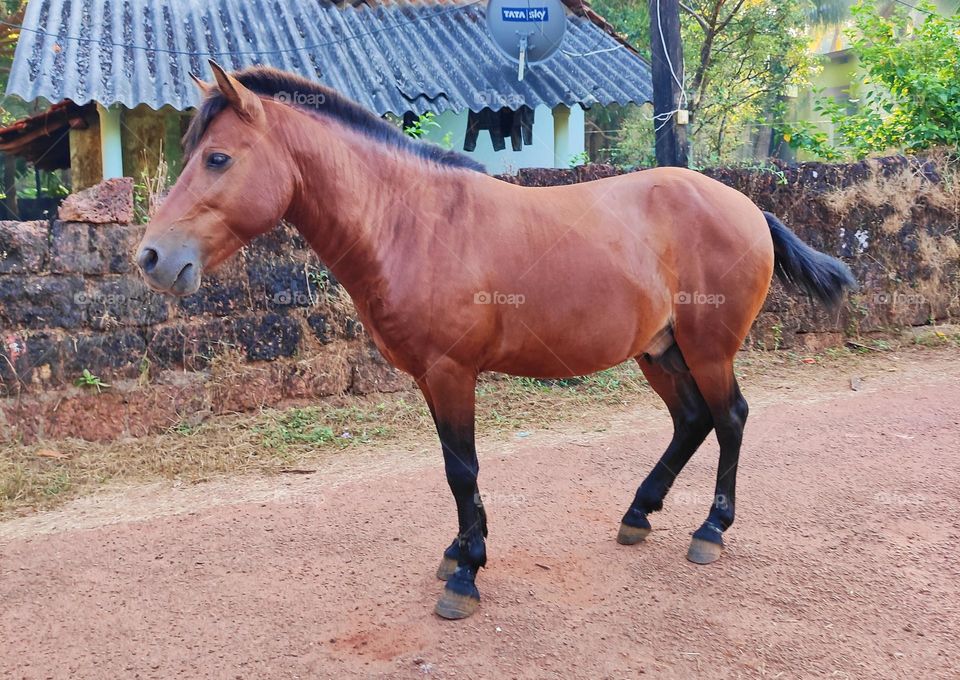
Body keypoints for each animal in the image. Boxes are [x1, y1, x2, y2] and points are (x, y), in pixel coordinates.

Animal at [135, 61, 855, 620]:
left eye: (218, 158)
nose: (150, 258)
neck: (413, 221)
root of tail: (748, 206)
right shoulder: (430, 378)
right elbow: (455, 469)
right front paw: (459, 552)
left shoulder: (452, 372)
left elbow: (463, 469)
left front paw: (465, 574)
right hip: (660, 351)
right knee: (692, 420)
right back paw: (638, 514)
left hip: (708, 349)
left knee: (729, 418)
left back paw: (710, 530)